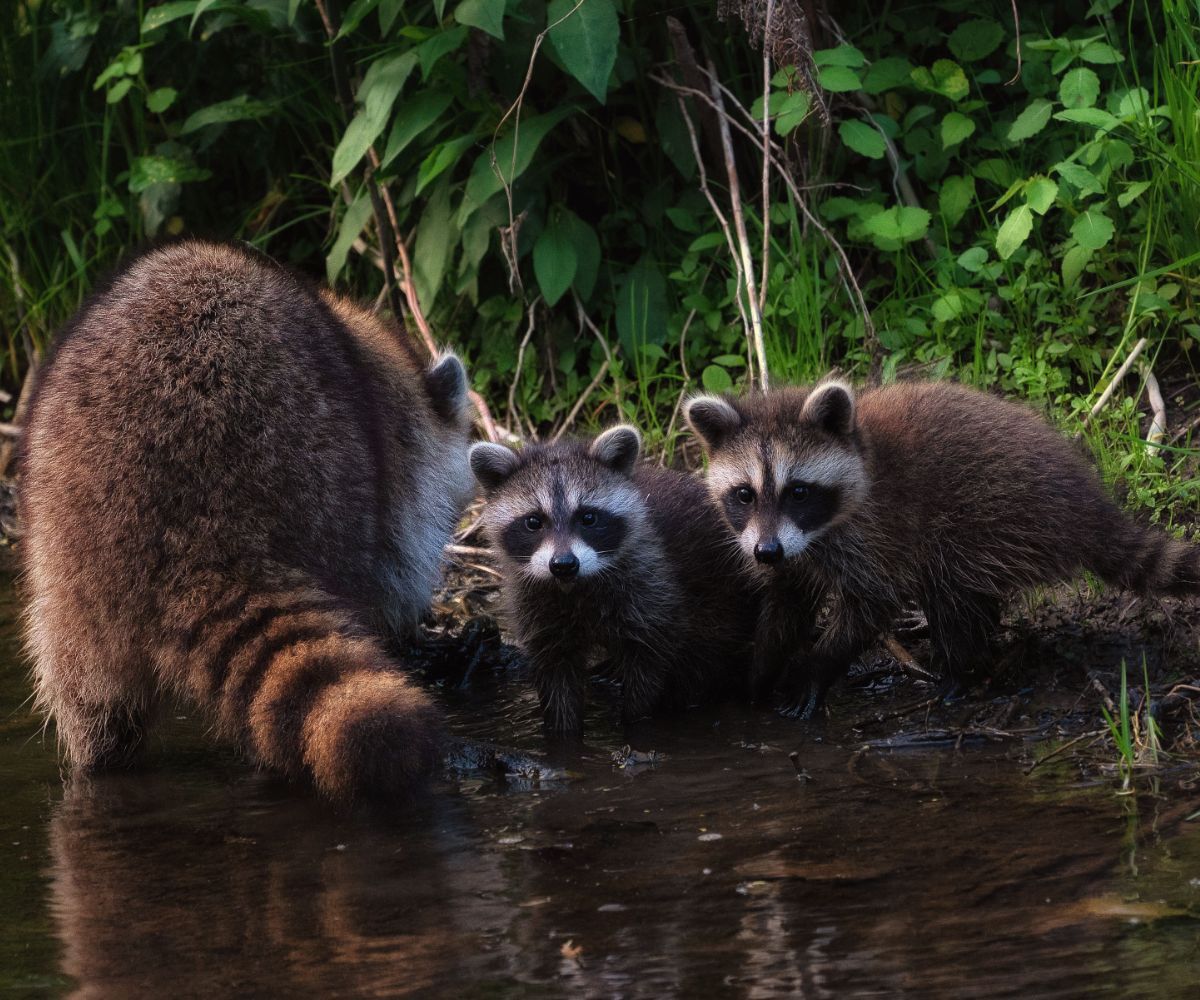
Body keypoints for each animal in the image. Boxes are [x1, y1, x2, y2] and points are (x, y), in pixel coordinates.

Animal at [20, 241, 474, 800]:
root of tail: (188, 535)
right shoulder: (391, 467)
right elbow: (400, 561)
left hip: (63, 572)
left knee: (90, 708)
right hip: (326, 484)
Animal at [469, 426, 759, 732]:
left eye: (588, 517)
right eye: (534, 522)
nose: (563, 565)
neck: (575, 586)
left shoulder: (651, 587)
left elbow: (648, 669)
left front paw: (635, 721)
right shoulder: (537, 608)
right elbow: (556, 677)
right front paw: (563, 732)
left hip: (718, 599)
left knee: (702, 659)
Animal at [685, 380, 1200, 717]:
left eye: (798, 492)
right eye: (745, 494)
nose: (767, 553)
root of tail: (1089, 504)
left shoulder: (877, 534)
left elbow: (871, 605)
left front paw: (817, 667)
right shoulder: (784, 547)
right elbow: (786, 603)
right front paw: (762, 669)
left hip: (995, 518)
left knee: (950, 585)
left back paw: (962, 670)